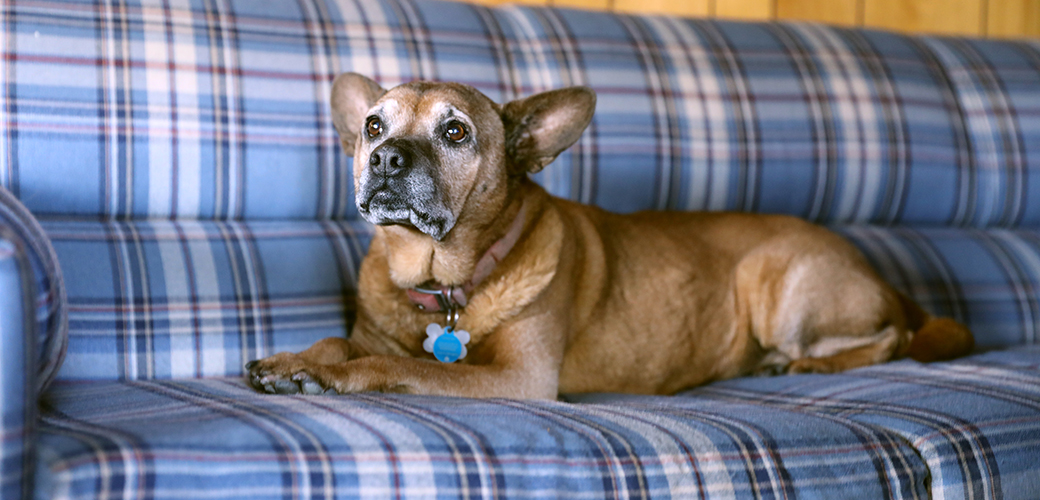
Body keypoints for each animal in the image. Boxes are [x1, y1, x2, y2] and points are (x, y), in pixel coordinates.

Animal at [245, 73, 973, 397]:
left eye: (455, 132)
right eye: (373, 124)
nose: (386, 158)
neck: (440, 278)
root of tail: (876, 271)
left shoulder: (518, 378)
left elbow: (399, 365)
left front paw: (329, 375)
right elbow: (343, 341)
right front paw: (296, 358)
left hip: (778, 285)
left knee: (893, 338)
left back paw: (803, 363)